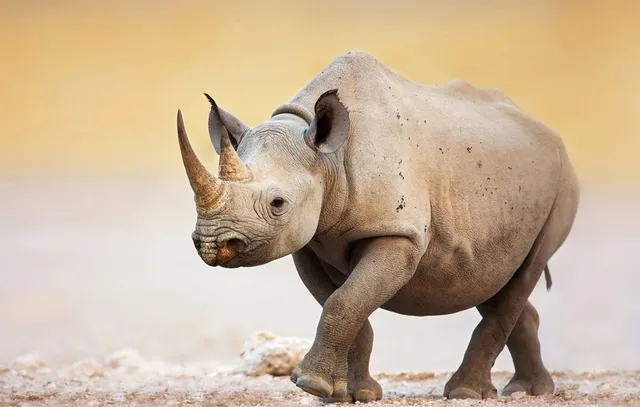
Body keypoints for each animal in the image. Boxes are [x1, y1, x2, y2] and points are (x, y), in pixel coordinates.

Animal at [175, 51, 579, 402]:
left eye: (278, 204)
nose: (212, 243)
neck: (327, 158)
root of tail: (548, 132)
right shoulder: (309, 240)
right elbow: (344, 303)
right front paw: (349, 395)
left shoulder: (398, 233)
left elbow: (344, 301)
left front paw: (310, 385)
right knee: (491, 279)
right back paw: (528, 390)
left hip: (562, 184)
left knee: (525, 272)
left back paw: (467, 393)